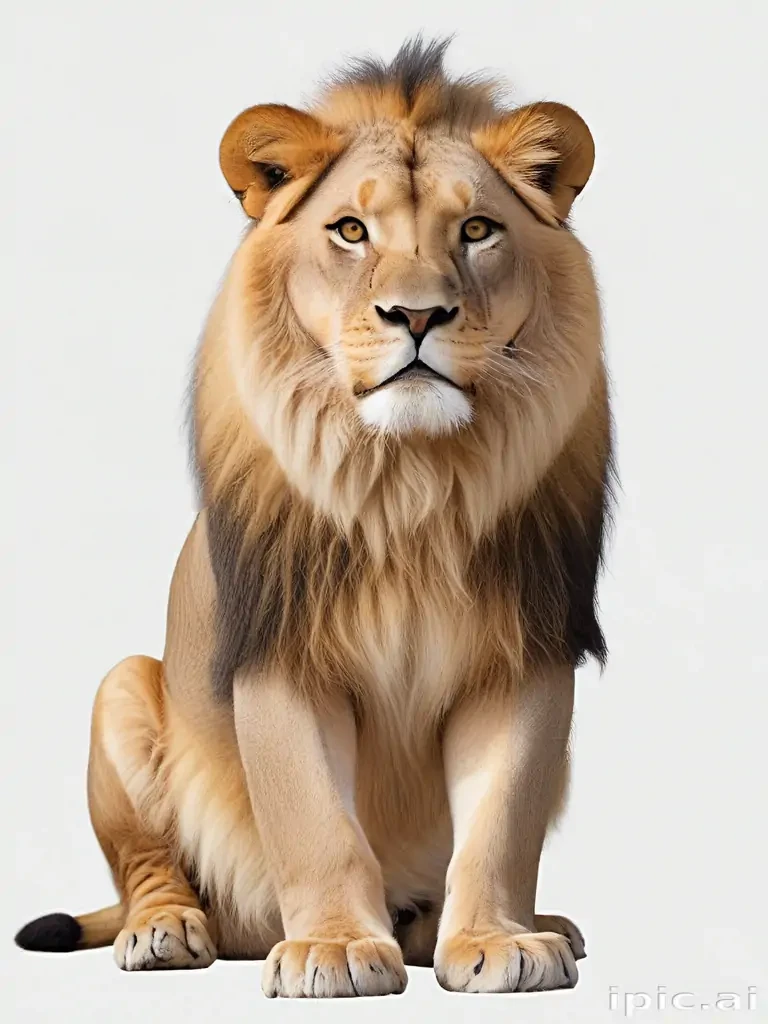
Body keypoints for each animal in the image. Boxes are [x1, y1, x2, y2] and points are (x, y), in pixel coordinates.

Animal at [15, 38, 613, 997]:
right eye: (351, 231)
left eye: (477, 231)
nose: (418, 314)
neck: (410, 483)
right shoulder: (279, 653)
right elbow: (314, 820)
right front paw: (332, 947)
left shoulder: (526, 650)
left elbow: (501, 822)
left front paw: (497, 941)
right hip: (121, 688)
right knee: (152, 865)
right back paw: (166, 930)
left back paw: (486, 924)